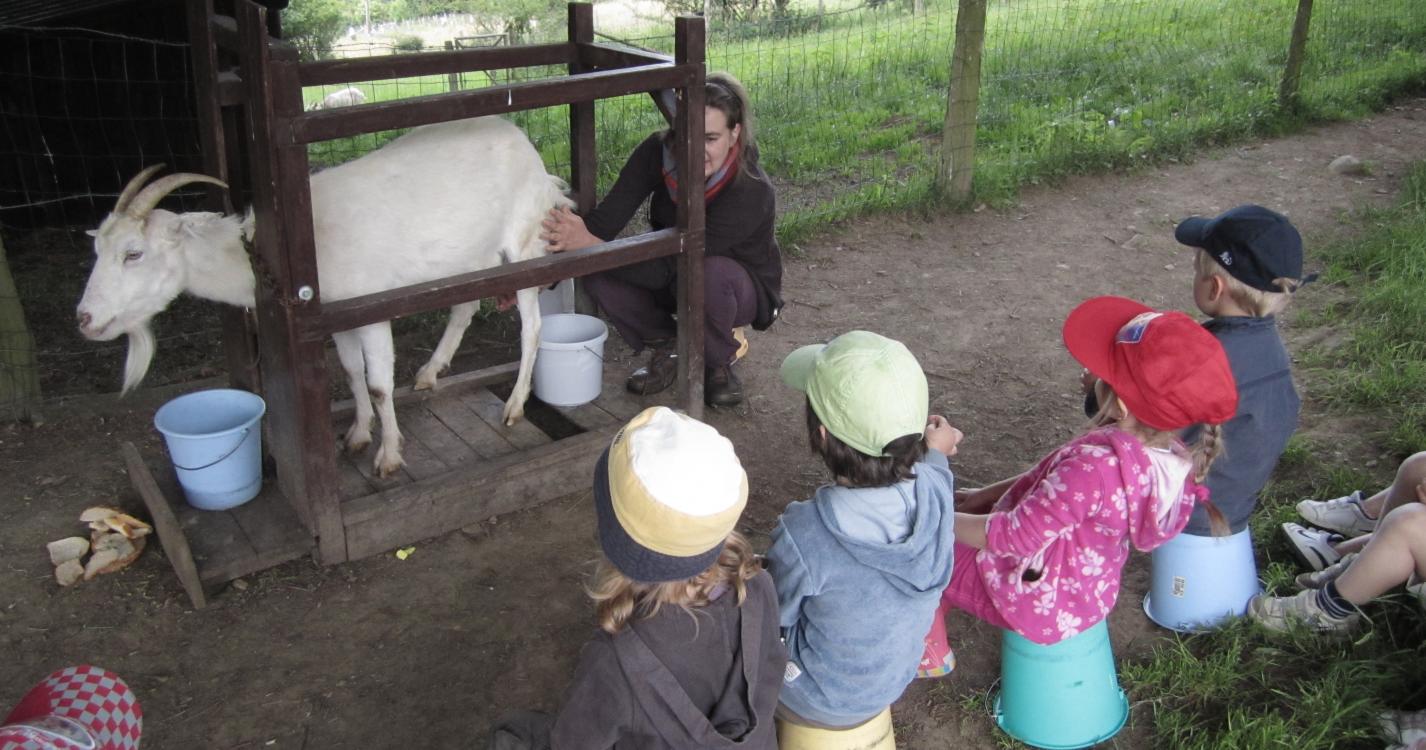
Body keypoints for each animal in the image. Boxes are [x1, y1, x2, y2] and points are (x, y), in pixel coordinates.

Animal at [77, 116, 572, 477]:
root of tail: (528, 149)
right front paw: (356, 435)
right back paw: (431, 372)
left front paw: (389, 456)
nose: (84, 318)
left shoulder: (371, 310)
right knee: (465, 304)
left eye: (133, 253)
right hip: (470, 255)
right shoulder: (334, 317)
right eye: (97, 248)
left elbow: (378, 384)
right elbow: (352, 374)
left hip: (522, 244)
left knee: (533, 326)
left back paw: (513, 406)